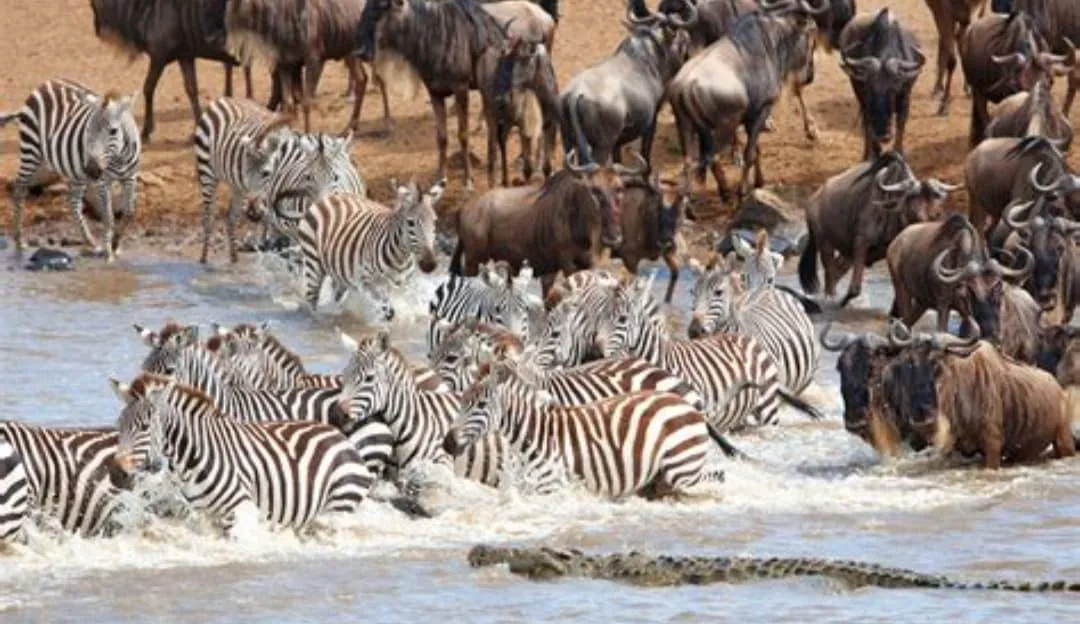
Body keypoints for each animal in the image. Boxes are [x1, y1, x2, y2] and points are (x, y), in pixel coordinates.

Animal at [0, 79, 141, 261]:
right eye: (88, 130)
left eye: (113, 131)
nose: (91, 169)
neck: (119, 158)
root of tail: (46, 83)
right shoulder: (103, 182)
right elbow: (108, 216)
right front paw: (108, 252)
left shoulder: (130, 177)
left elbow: (129, 212)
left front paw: (115, 244)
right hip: (30, 150)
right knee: (19, 189)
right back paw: (19, 239)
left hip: (75, 171)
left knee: (74, 202)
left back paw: (90, 241)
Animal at [112, 373, 374, 532]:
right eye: (119, 424)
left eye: (145, 427)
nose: (116, 474)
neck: (193, 458)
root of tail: (340, 436)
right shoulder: (205, 516)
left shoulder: (238, 509)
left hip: (339, 503)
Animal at [298, 178, 445, 320]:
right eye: (410, 222)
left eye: (435, 221)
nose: (429, 264)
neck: (400, 258)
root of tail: (332, 196)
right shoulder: (367, 282)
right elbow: (388, 312)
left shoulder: (402, 285)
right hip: (313, 264)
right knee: (312, 300)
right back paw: (319, 320)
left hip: (340, 272)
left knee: (336, 296)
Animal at [443, 361, 728, 500]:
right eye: (461, 401)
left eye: (481, 405)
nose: (447, 443)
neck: (535, 434)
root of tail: (687, 404)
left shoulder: (551, 487)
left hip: (681, 467)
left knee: (716, 477)